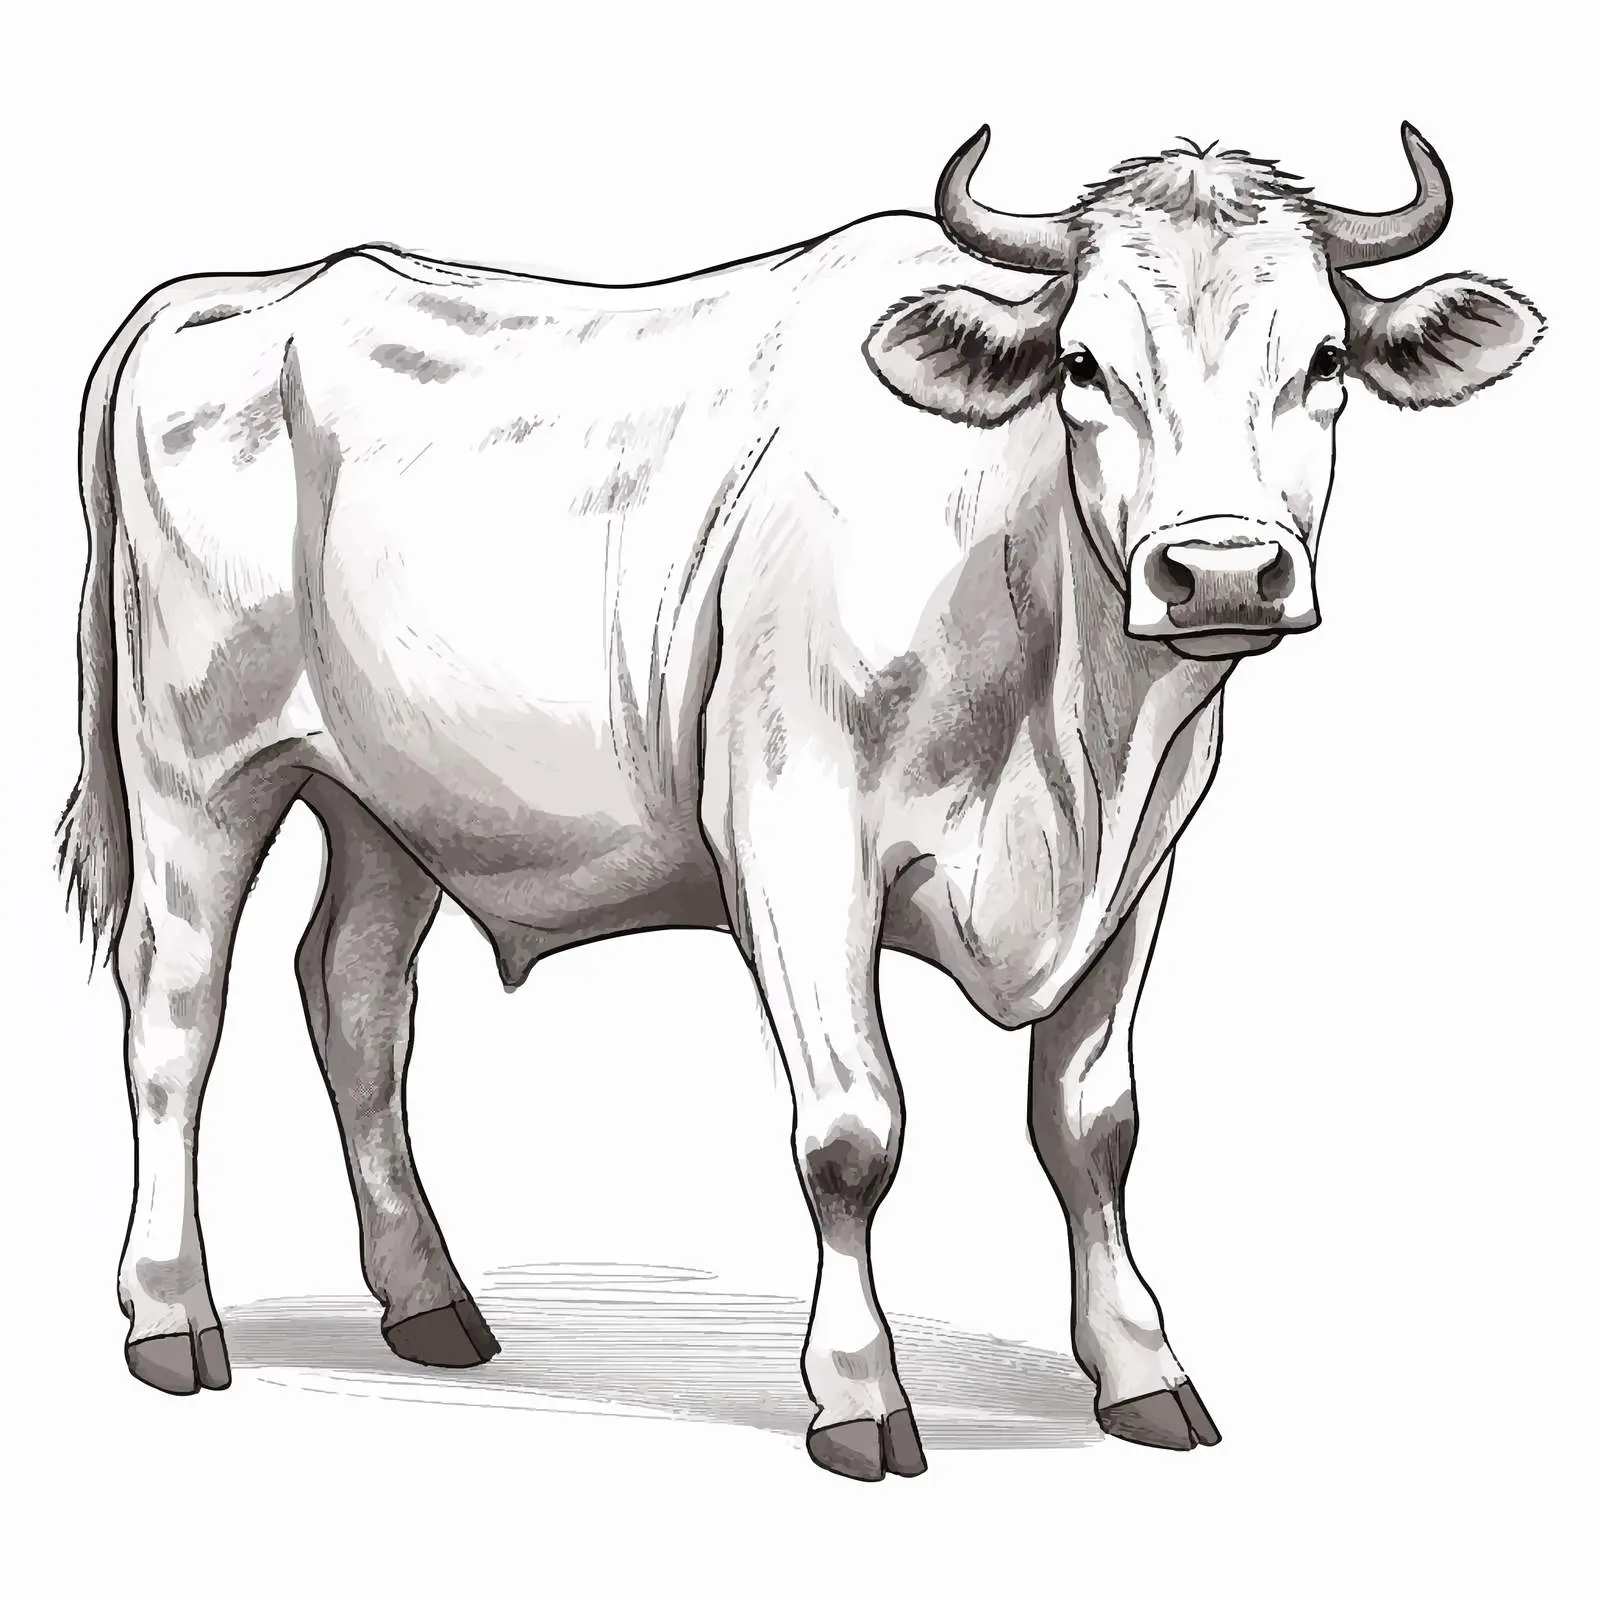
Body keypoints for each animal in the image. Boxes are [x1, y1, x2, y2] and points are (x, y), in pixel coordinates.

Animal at [60, 123, 1542, 1480]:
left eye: (1326, 361)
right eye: (1082, 364)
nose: (1222, 573)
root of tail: (231, 294)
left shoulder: (1142, 864)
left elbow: (1094, 1125)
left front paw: (1143, 1371)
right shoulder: (796, 836)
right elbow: (851, 1135)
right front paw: (857, 1396)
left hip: (392, 799)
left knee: (357, 1001)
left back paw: (429, 1302)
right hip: (196, 768)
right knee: (174, 1016)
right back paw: (171, 1321)